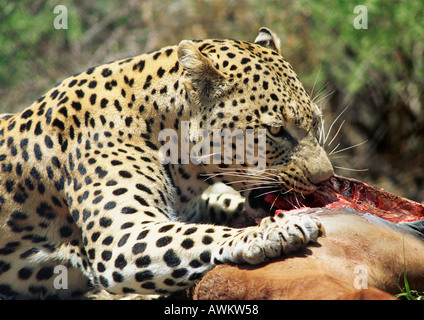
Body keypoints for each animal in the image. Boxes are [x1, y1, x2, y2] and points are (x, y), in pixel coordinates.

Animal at [0, 26, 334, 298]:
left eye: (316, 122)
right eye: (276, 131)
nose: (326, 178)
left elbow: (215, 212)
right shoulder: (122, 238)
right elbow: (198, 235)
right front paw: (274, 231)